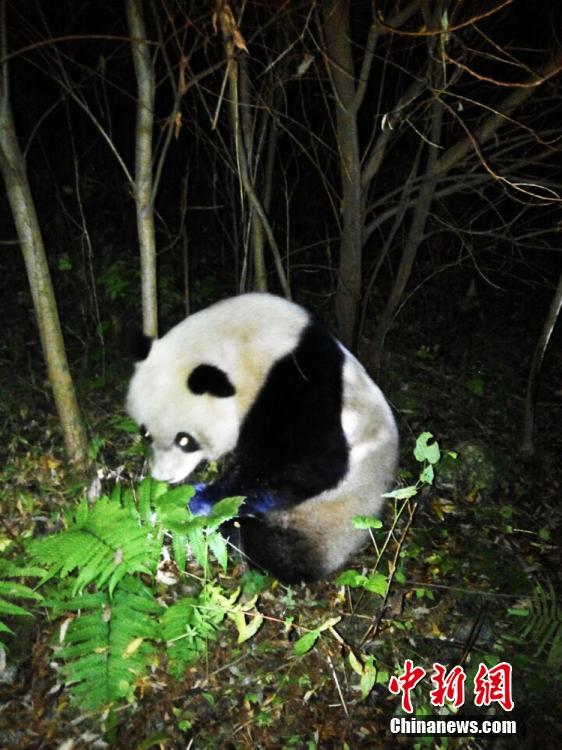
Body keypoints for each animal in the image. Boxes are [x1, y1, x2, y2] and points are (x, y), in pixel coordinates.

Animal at [126, 293, 398, 584]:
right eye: (145, 433)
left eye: (185, 440)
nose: (164, 477)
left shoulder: (299, 383)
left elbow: (310, 465)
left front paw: (203, 498)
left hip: (330, 518)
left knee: (279, 549)